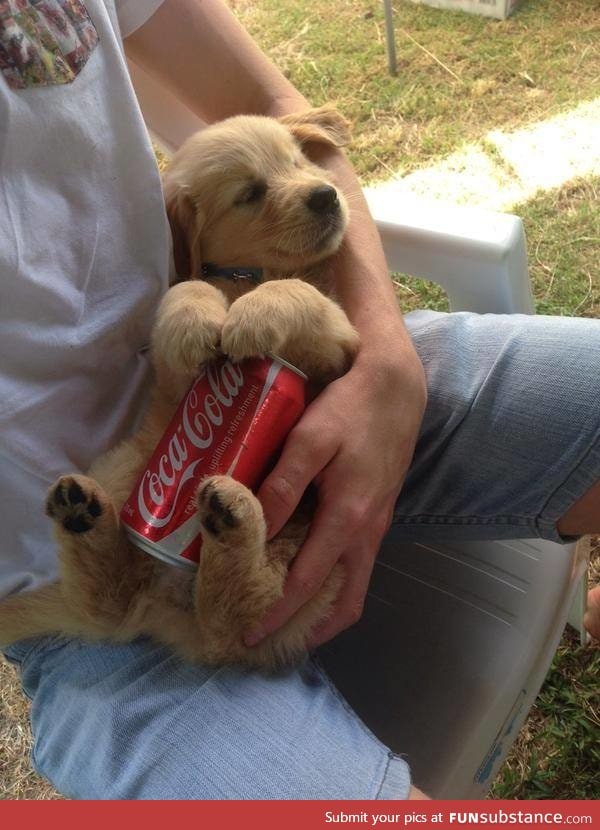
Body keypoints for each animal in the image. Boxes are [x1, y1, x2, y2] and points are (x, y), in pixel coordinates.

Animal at [0, 107, 358, 672]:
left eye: (298, 160)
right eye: (250, 193)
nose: (325, 195)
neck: (246, 276)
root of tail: (164, 605)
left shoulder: (337, 346)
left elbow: (298, 292)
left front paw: (255, 315)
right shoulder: (172, 375)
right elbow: (186, 290)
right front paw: (198, 321)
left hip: (309, 561)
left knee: (236, 620)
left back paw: (228, 520)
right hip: (127, 464)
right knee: (115, 603)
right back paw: (87, 515)